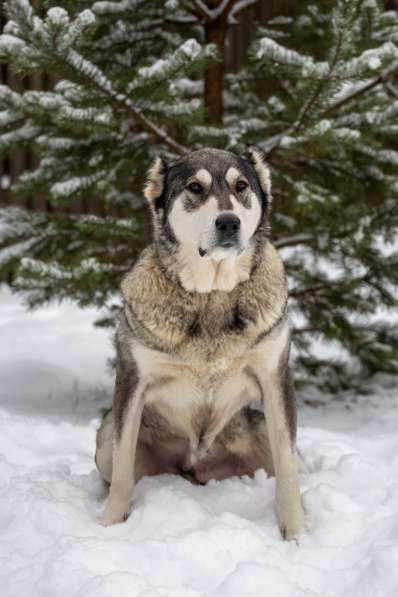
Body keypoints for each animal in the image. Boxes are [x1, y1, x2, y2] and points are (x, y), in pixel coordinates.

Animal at [95, 146, 304, 540]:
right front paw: (109, 524)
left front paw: (296, 532)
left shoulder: (275, 377)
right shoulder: (133, 378)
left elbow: (287, 471)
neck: (212, 295)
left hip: (256, 429)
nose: (229, 223)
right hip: (105, 435)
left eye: (241, 186)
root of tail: (197, 465)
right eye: (194, 187)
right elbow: (124, 464)